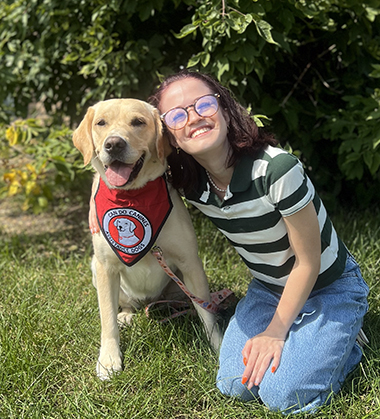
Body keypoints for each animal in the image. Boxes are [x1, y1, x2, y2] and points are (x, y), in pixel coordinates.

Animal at [72, 98, 221, 380]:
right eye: (101, 123)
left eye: (138, 122)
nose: (114, 144)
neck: (132, 197)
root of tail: (148, 302)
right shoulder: (106, 268)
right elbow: (107, 319)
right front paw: (109, 359)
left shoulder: (190, 263)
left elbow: (207, 313)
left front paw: (219, 346)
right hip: (97, 271)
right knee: (125, 306)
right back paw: (127, 315)